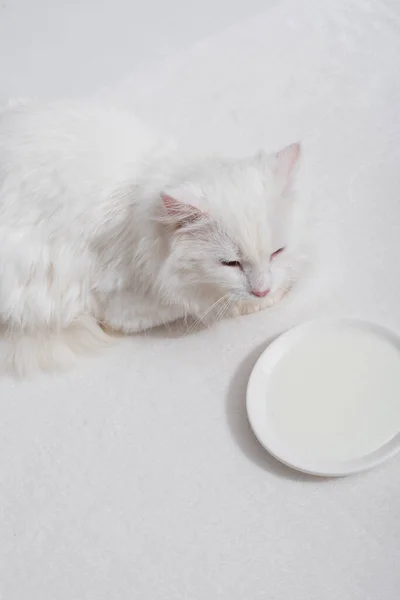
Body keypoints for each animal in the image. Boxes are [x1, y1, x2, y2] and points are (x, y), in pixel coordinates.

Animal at [0, 100, 302, 372]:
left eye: (277, 252)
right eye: (231, 263)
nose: (262, 290)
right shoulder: (118, 304)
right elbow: (208, 305)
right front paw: (268, 297)